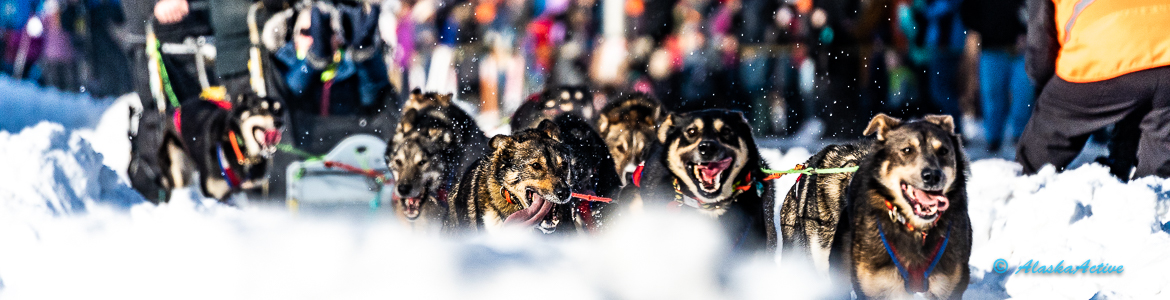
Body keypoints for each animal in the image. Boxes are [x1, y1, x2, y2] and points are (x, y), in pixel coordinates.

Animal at [157, 92, 285, 202]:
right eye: (260, 109)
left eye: (278, 111)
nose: (279, 122)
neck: (238, 145)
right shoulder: (212, 193)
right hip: (178, 171)